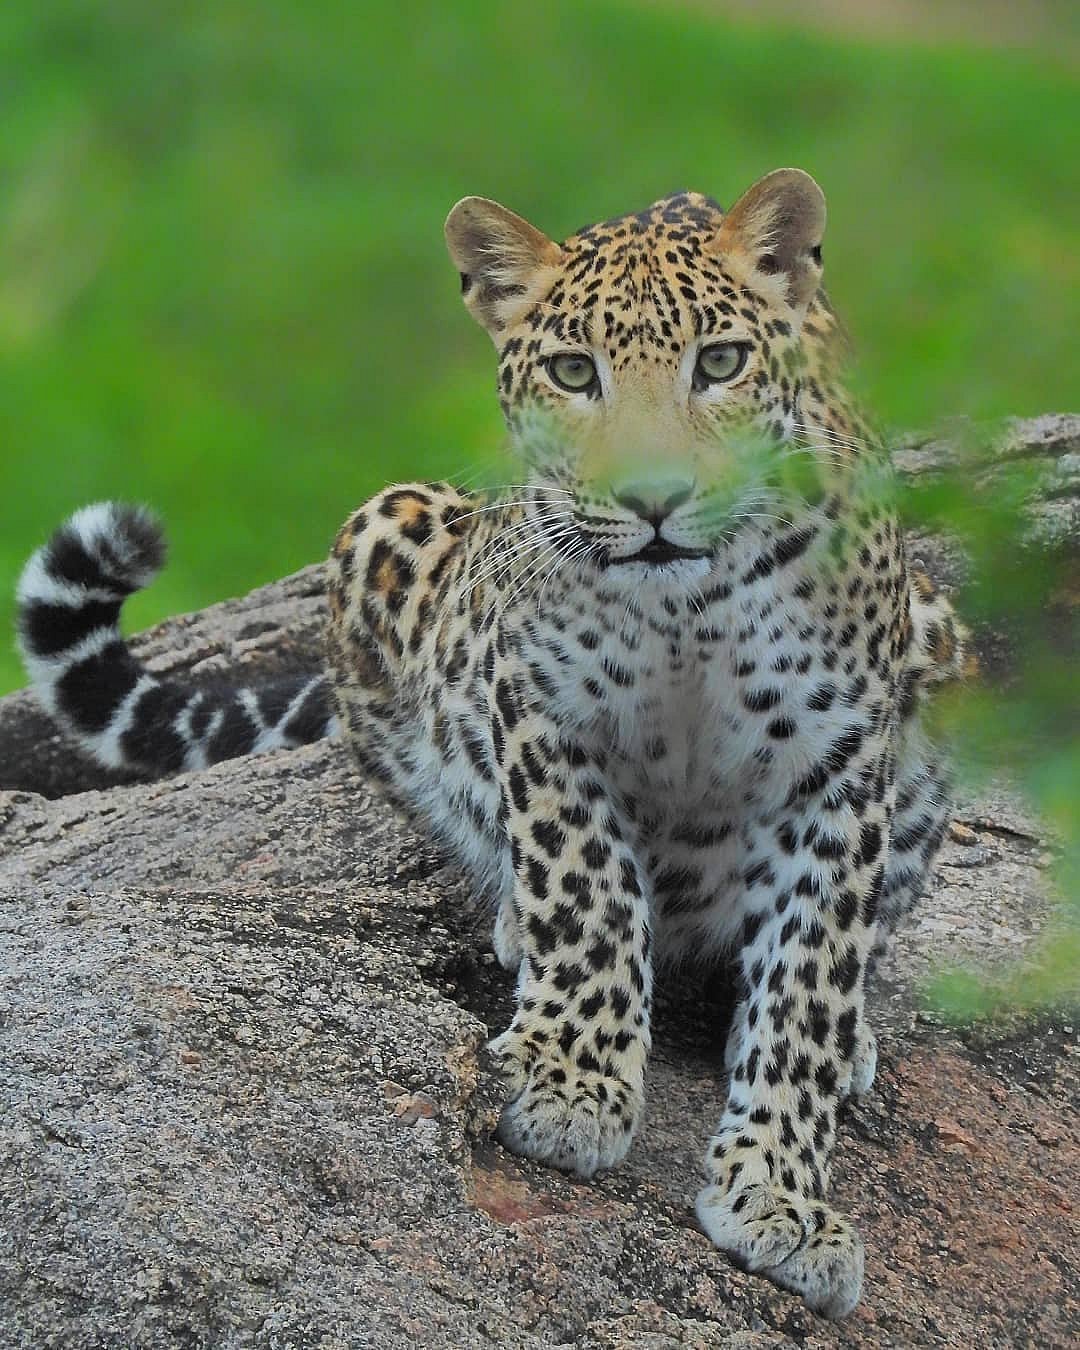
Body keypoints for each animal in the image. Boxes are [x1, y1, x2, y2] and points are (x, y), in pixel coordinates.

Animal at [16, 169, 969, 1319]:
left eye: (720, 363)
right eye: (573, 372)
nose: (654, 504)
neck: (688, 613)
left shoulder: (837, 766)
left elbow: (807, 991)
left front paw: (782, 1192)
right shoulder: (544, 706)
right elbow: (587, 895)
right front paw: (572, 1080)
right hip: (387, 527)